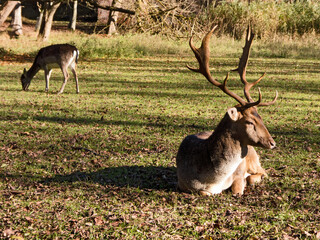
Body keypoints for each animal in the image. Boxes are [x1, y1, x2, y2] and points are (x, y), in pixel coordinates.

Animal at [176, 25, 278, 195]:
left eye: (261, 118)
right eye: (250, 122)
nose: (272, 143)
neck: (210, 180)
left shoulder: (238, 174)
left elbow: (238, 188)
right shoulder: (182, 183)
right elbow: (204, 192)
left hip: (253, 158)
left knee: (263, 172)